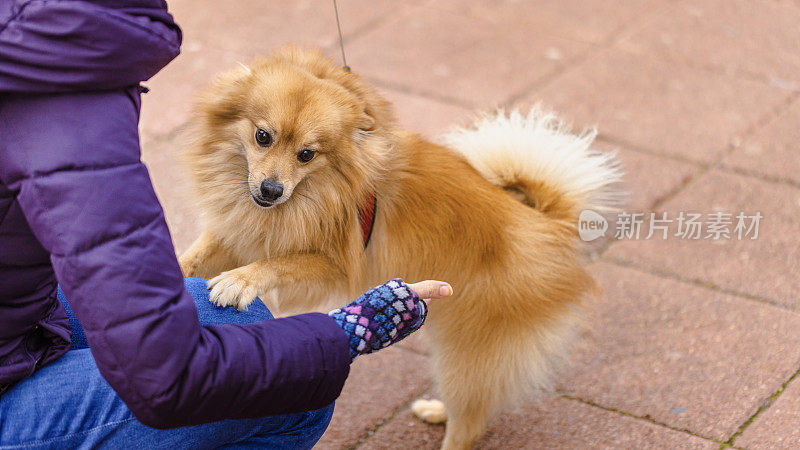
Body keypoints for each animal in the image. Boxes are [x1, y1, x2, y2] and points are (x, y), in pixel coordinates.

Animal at [178, 47, 620, 448]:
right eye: (262, 137)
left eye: (306, 154)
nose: (271, 189)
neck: (315, 191)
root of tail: (550, 224)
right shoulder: (240, 231)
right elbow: (198, 254)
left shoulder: (335, 263)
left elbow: (277, 265)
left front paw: (240, 281)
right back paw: (437, 411)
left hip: (469, 348)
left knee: (470, 419)